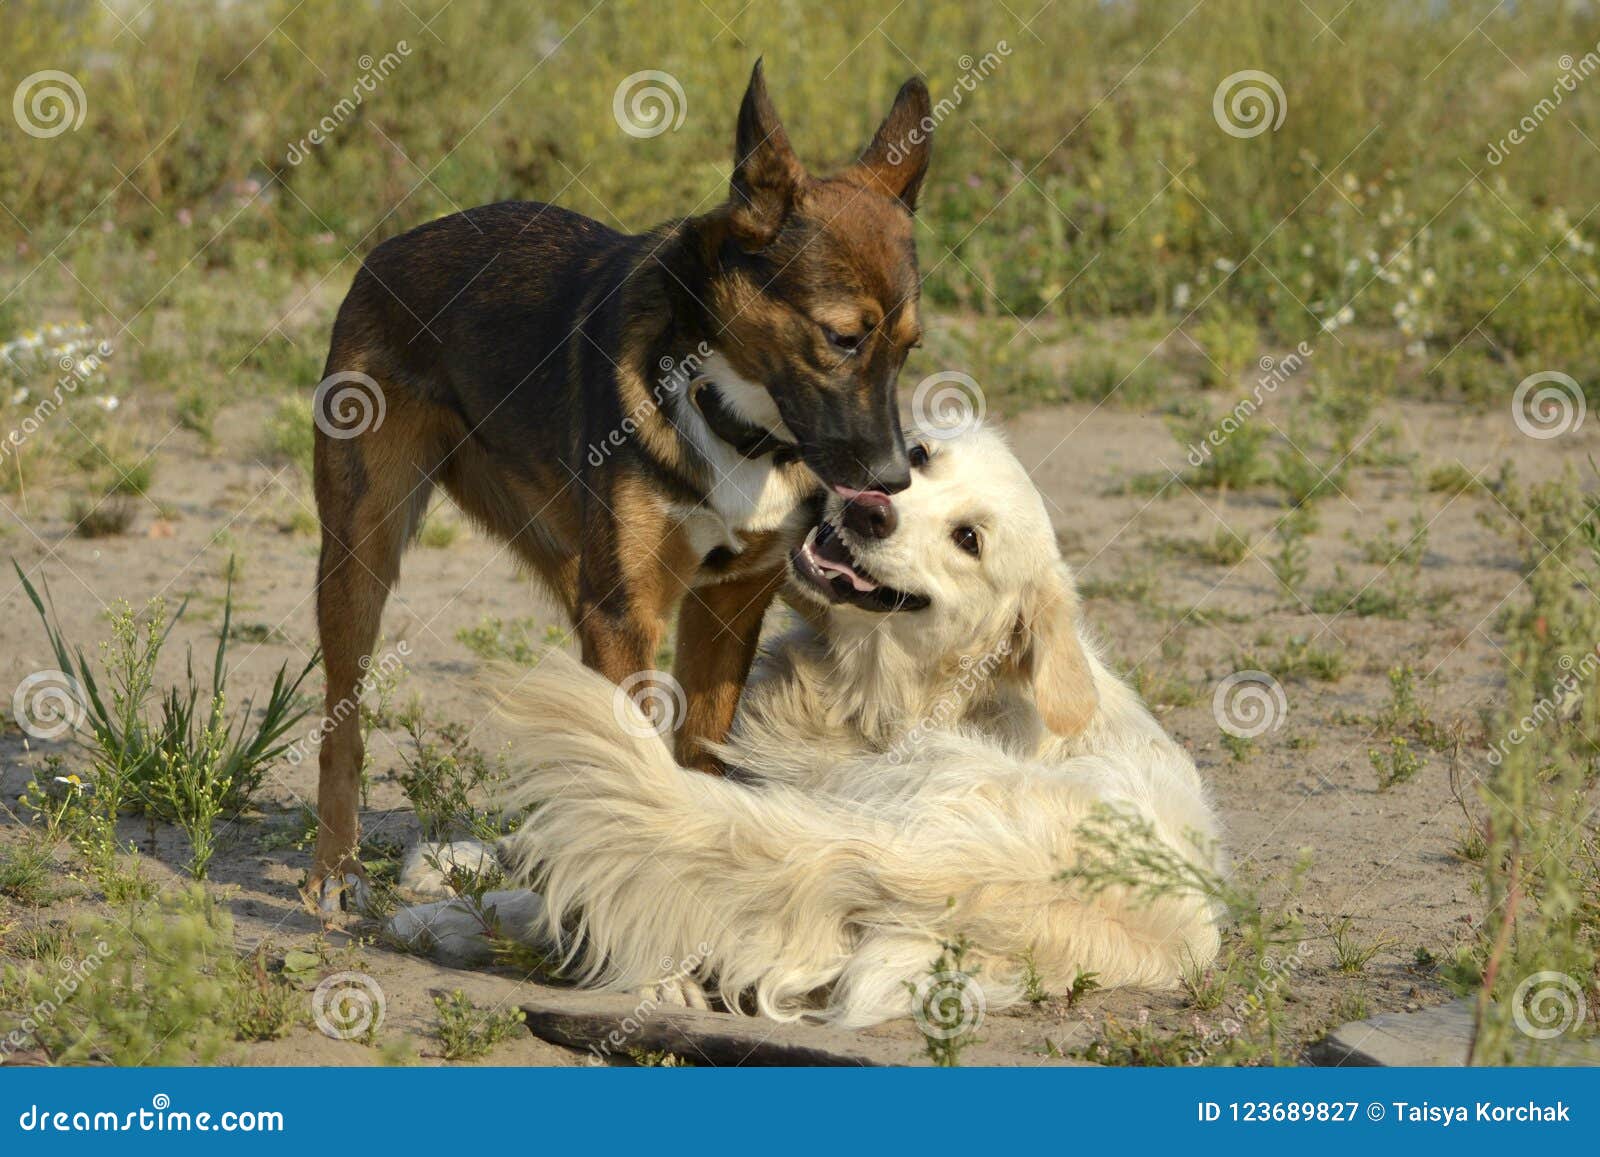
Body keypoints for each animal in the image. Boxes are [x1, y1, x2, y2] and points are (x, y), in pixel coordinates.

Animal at [310, 63, 934, 908]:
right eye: (841, 338)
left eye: (909, 348)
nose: (893, 480)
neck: (727, 409)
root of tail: (390, 250)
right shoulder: (627, 611)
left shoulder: (726, 605)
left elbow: (696, 756)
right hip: (361, 555)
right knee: (340, 725)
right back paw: (335, 867)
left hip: (572, 574)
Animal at [403, 428, 1222, 1024]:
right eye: (918, 457)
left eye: (969, 540)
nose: (870, 509)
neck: (883, 691)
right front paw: (453, 854)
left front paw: (456, 879)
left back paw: (441, 922)